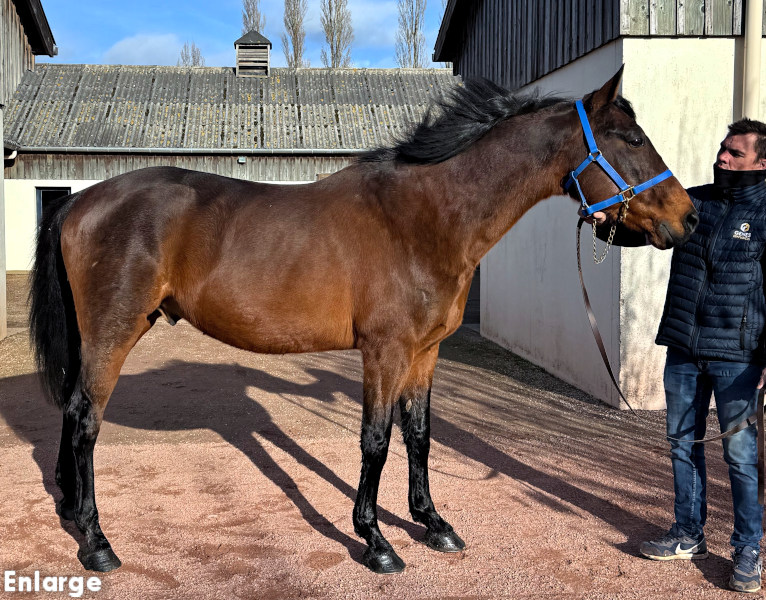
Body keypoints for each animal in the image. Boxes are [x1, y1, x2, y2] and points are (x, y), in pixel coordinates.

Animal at [29, 68, 697, 574]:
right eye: (631, 138)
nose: (688, 217)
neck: (424, 216)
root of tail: (80, 200)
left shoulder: (425, 352)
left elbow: (419, 436)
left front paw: (434, 524)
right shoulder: (385, 350)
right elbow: (375, 441)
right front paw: (375, 541)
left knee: (69, 406)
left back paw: (70, 512)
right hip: (114, 332)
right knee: (86, 420)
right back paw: (97, 542)